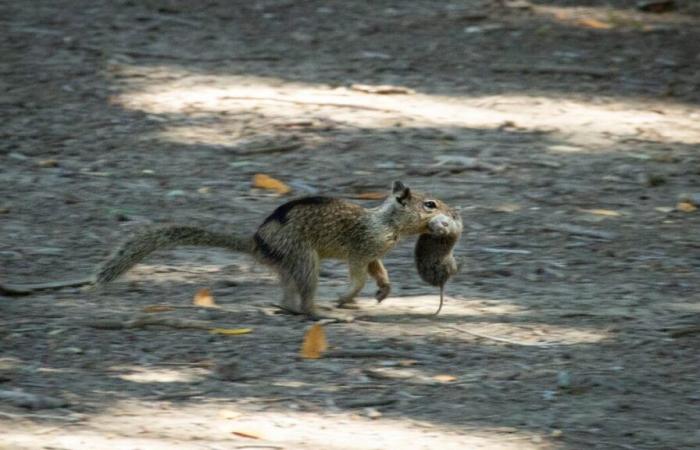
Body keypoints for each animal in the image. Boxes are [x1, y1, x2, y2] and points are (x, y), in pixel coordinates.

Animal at [0, 179, 456, 320]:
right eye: (430, 204)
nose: (454, 212)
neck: (386, 222)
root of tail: (257, 242)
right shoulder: (361, 249)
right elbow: (360, 273)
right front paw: (350, 297)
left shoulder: (375, 252)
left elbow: (379, 271)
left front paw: (384, 290)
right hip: (304, 259)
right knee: (304, 298)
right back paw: (325, 312)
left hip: (292, 265)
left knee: (286, 297)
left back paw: (290, 308)